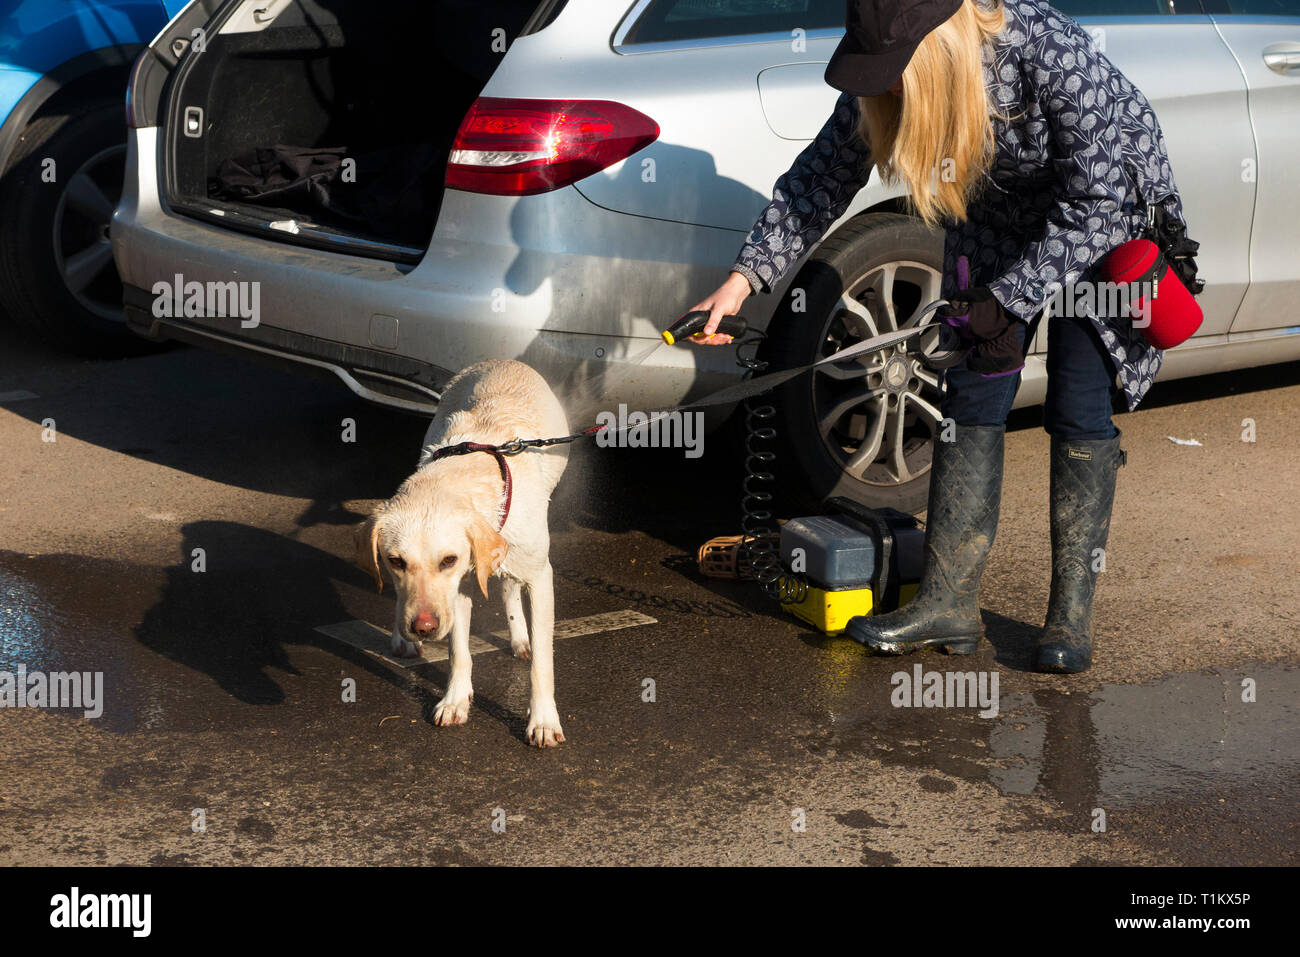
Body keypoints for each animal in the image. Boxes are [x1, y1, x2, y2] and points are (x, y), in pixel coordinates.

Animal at [361, 358, 574, 748]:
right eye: (396, 561)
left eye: (448, 560)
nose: (423, 628)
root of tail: (503, 360)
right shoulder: (457, 589)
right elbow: (458, 651)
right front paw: (455, 700)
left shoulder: (538, 577)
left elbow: (542, 665)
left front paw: (543, 720)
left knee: (509, 586)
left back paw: (519, 637)